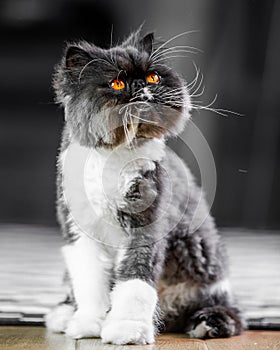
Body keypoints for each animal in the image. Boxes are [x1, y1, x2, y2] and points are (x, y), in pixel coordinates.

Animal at [44, 28, 244, 344]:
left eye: (153, 77)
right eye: (116, 83)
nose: (140, 86)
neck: (116, 154)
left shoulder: (144, 229)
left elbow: (134, 284)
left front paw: (127, 330)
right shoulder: (81, 235)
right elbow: (90, 286)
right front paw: (89, 325)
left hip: (208, 280)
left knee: (231, 315)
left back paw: (206, 324)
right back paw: (64, 316)